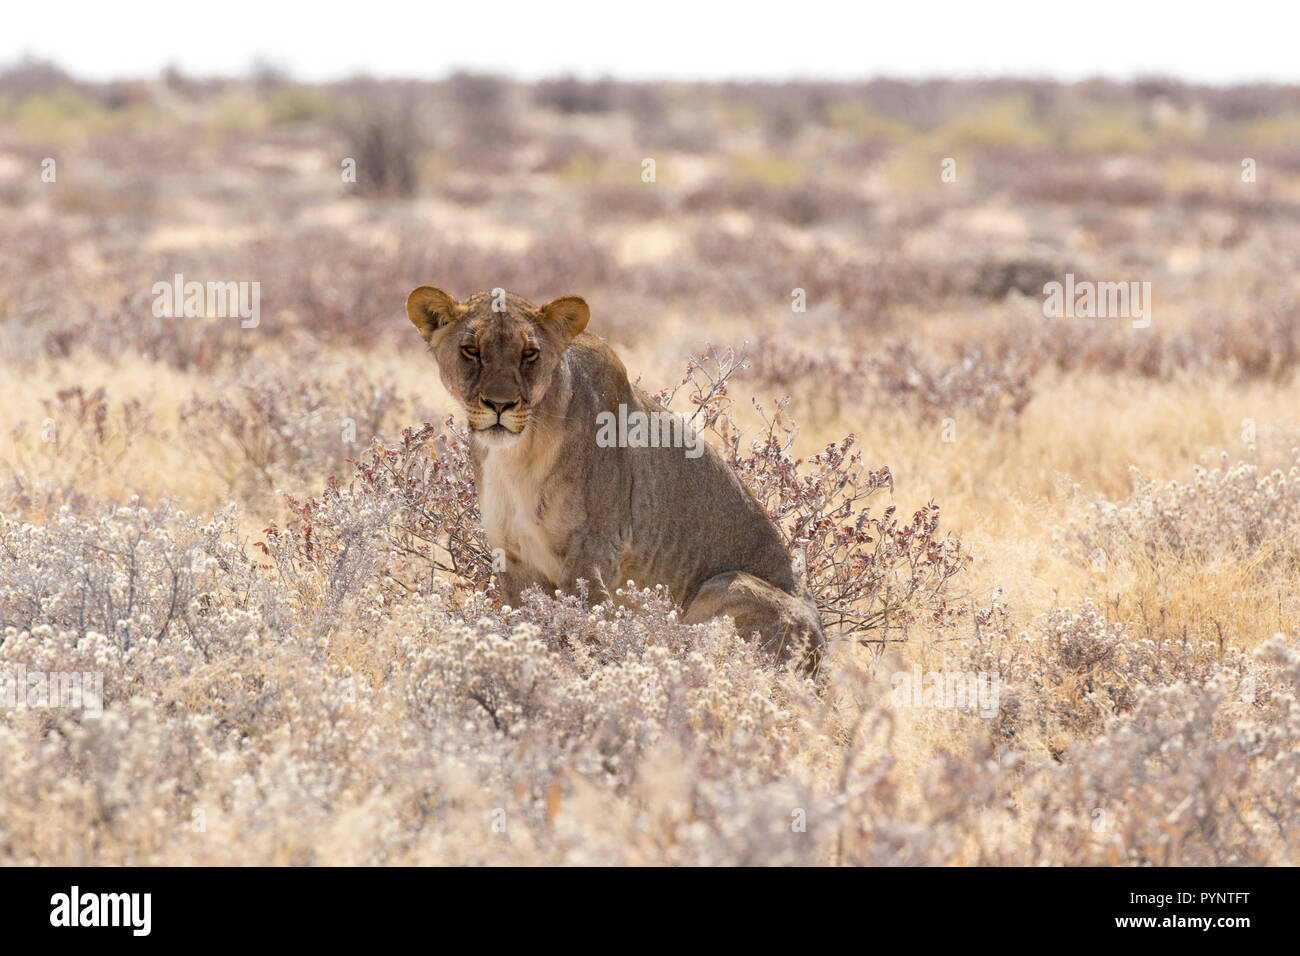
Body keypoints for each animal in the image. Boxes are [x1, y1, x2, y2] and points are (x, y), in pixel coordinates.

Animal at [406, 286, 827, 674]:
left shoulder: (595, 551)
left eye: (529, 354)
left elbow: (583, 631)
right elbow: (526, 627)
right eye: (471, 350)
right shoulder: (510, 553)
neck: (516, 456)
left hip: (726, 586)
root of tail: (821, 659)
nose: (499, 405)